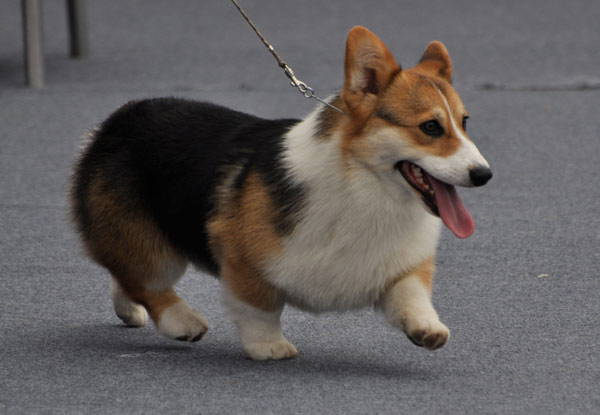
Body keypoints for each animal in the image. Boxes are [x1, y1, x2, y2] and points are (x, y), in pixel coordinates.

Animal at [70, 26, 492, 360]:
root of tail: (111, 123)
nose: (485, 174)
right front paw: (269, 347)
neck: (364, 186)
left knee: (125, 274)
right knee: (146, 279)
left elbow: (411, 295)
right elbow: (260, 306)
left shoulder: (398, 267)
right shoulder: (241, 257)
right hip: (152, 245)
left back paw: (131, 312)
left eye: (465, 122)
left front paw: (428, 330)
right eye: (431, 127)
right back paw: (182, 320)